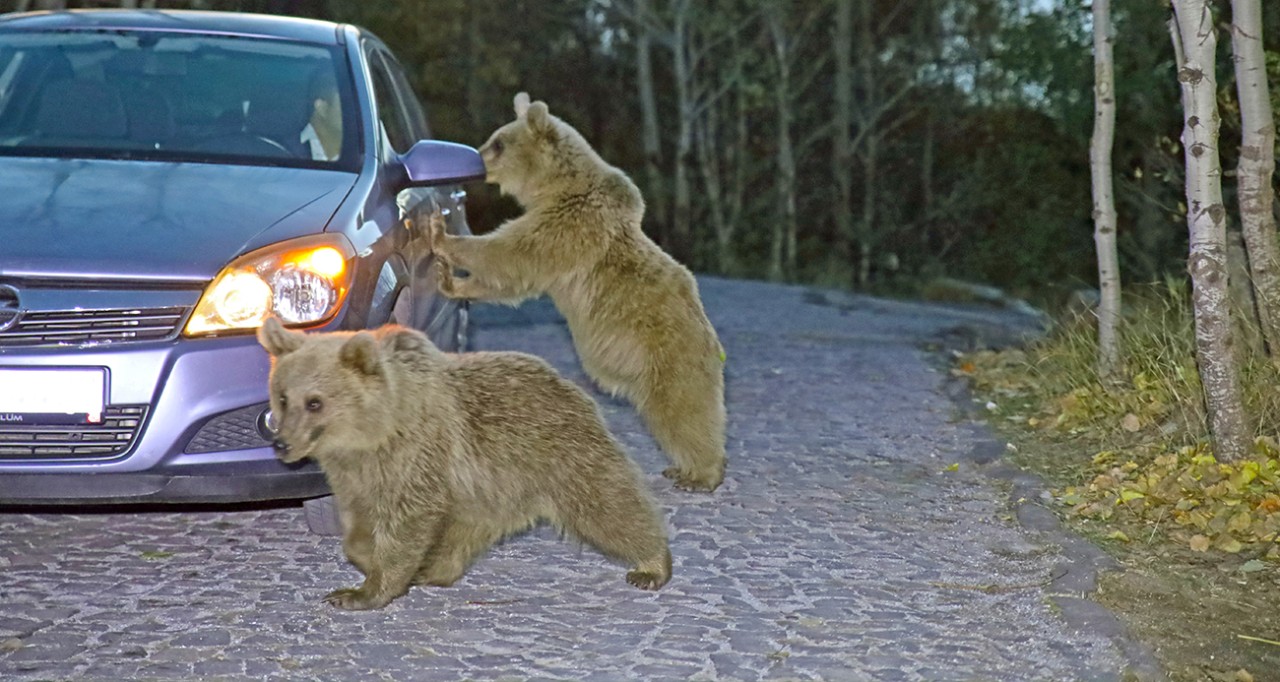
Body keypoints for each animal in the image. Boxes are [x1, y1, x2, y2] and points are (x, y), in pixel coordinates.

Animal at [257, 318, 670, 611]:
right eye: (283, 396)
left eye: (314, 402)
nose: (281, 443)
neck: (373, 434)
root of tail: (571, 385)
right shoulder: (355, 474)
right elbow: (359, 524)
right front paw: (369, 559)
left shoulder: (417, 455)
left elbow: (406, 523)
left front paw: (362, 591)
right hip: (488, 489)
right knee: (463, 533)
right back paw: (434, 569)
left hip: (558, 456)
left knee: (608, 507)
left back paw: (652, 564)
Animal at [430, 92, 727, 491]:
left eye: (498, 143)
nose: (474, 161)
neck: (553, 187)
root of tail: (712, 343)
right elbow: (510, 278)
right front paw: (451, 281)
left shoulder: (568, 226)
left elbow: (509, 253)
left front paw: (441, 236)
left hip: (669, 354)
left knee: (683, 411)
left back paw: (701, 474)